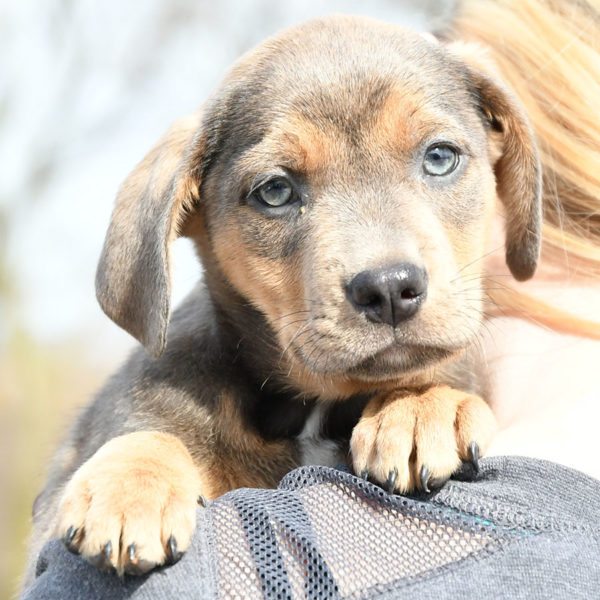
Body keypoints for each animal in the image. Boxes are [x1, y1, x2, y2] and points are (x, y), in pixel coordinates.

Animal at [27, 15, 541, 578]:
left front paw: (423, 406)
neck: (311, 408)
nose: (388, 289)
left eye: (440, 157)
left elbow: (429, 374)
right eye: (275, 191)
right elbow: (150, 431)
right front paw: (131, 484)